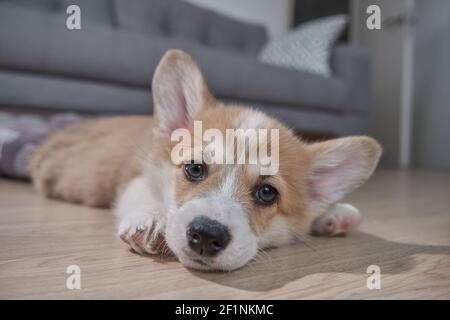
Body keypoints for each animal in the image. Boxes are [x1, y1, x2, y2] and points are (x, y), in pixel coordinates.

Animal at [29, 48, 380, 272]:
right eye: (194, 168)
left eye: (267, 193)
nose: (207, 236)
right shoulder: (136, 177)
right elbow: (143, 196)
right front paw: (152, 220)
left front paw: (332, 214)